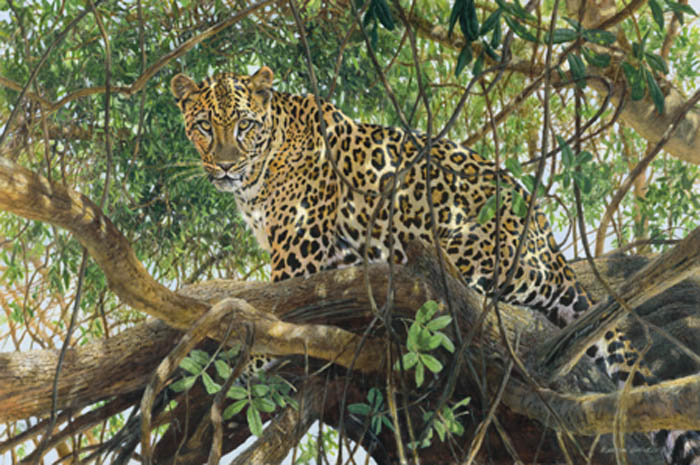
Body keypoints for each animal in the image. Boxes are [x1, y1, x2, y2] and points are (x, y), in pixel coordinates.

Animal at [171, 66, 700, 465]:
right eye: (204, 127)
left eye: (244, 125)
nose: (225, 165)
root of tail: (552, 249)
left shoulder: (299, 249)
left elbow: (277, 311)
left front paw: (235, 364)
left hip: (455, 247)